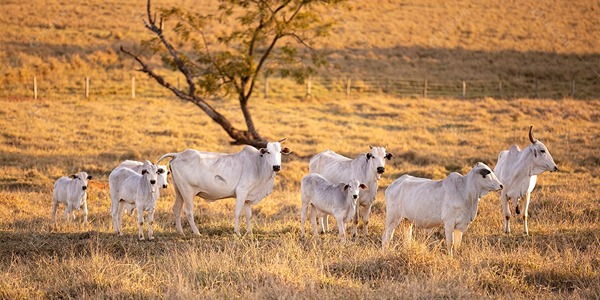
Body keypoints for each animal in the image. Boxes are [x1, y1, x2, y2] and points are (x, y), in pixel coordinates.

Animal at [157, 139, 290, 236]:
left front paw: (250, 232)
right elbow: (237, 213)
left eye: (280, 152)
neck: (258, 164)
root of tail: (177, 155)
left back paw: (181, 233)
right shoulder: (241, 192)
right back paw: (197, 233)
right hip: (187, 192)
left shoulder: (248, 198)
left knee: (176, 209)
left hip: (179, 191)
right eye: (268, 152)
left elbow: (249, 215)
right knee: (188, 212)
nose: (276, 167)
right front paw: (237, 233)